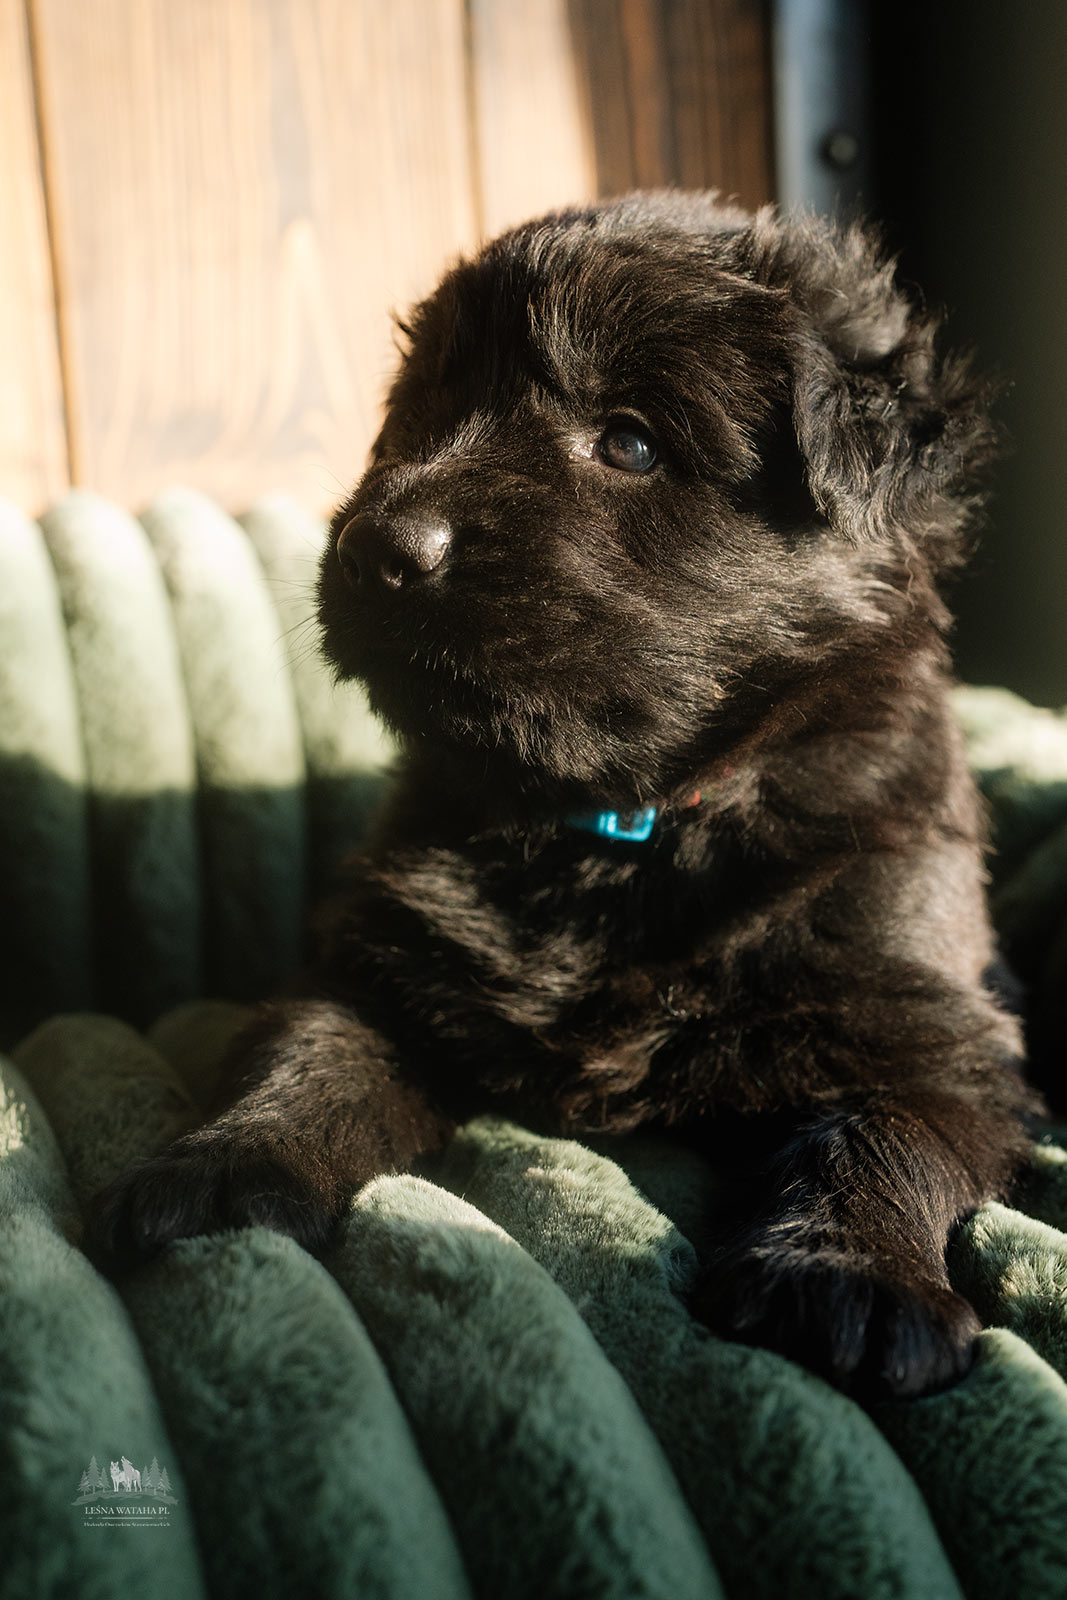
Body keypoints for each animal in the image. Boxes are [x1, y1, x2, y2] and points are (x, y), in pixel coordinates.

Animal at [93, 192, 1041, 1401]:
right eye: (421, 410)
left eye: (629, 441)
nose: (375, 546)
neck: (622, 827)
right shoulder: (381, 964)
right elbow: (305, 1048)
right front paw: (218, 1168)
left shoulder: (924, 1018)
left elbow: (878, 1133)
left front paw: (848, 1277)